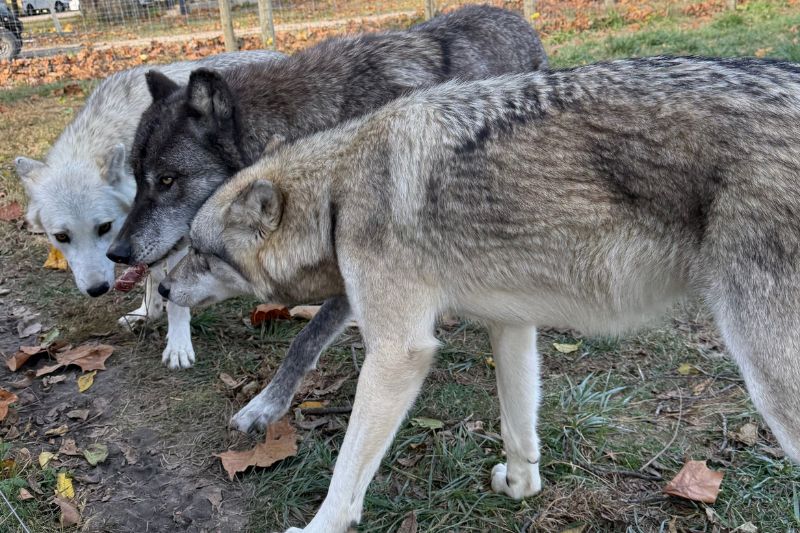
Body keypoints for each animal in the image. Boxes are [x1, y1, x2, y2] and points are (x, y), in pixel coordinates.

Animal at [13, 50, 283, 369]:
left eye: (104, 227)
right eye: (61, 237)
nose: (97, 289)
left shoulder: (173, 236)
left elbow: (171, 291)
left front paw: (178, 345)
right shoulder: (146, 238)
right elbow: (152, 276)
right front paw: (146, 312)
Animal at [107, 5, 548, 423]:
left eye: (167, 180)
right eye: (136, 177)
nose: (117, 252)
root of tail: (516, 18)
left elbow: (306, 339)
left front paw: (265, 405)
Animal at [160, 56, 800, 531]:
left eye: (201, 253)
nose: (162, 285)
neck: (338, 198)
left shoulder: (398, 353)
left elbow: (344, 478)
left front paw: (318, 527)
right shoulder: (511, 325)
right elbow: (520, 431)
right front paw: (519, 487)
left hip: (773, 386)